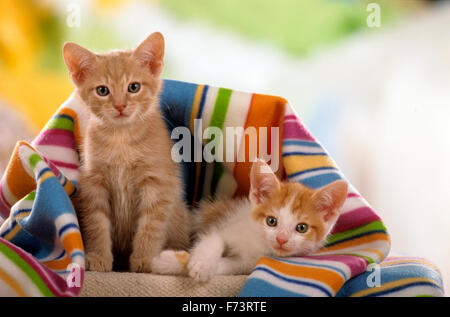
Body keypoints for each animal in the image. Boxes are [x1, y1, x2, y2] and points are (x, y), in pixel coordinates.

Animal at [63, 32, 190, 272]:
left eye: (134, 87)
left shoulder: (157, 184)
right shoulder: (94, 182)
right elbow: (96, 223)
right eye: (102, 90)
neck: (121, 139)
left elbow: (150, 226)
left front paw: (144, 259)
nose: (120, 106)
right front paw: (99, 257)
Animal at [151, 160, 348, 282]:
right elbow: (214, 239)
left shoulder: (249, 262)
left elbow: (227, 266)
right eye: (271, 221)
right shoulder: (225, 228)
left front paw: (168, 263)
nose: (281, 239)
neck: (258, 242)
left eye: (301, 228)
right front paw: (202, 263)